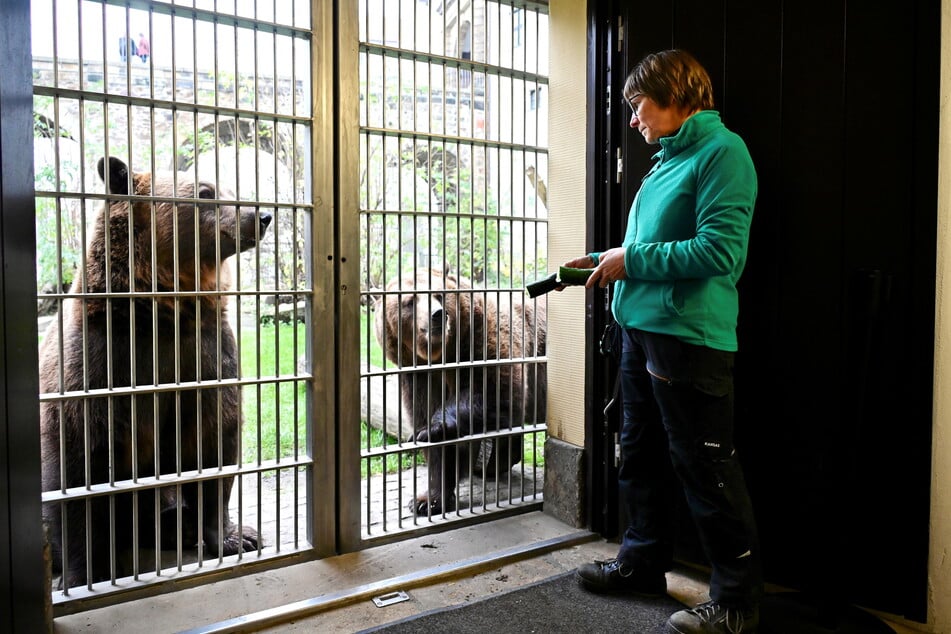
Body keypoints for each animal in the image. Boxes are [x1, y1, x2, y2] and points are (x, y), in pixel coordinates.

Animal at [40, 156, 272, 584]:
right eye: (205, 192)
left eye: (229, 187)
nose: (261, 216)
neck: (162, 313)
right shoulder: (97, 362)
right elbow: (76, 472)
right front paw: (84, 573)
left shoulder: (206, 355)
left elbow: (213, 444)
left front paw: (238, 536)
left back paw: (177, 524)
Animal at [374, 266, 548, 512]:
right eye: (410, 301)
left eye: (439, 295)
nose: (437, 315)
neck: (441, 356)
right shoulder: (419, 377)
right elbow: (429, 425)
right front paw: (428, 501)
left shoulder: (485, 340)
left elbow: (492, 392)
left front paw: (433, 429)